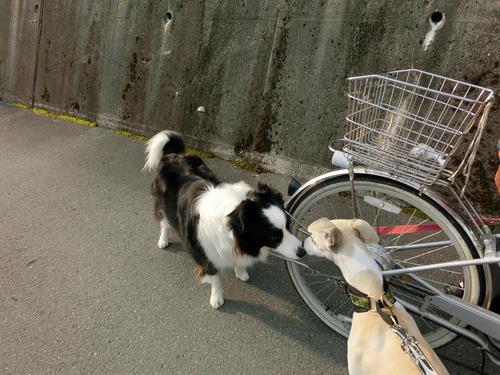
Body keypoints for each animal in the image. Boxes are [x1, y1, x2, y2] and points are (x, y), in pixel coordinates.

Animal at [142, 131, 304, 308]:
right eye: (274, 236)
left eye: (288, 226)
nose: (303, 252)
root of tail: (174, 155)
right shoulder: (205, 253)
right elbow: (216, 278)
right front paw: (217, 297)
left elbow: (238, 261)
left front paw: (240, 271)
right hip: (163, 205)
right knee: (164, 222)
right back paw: (163, 240)